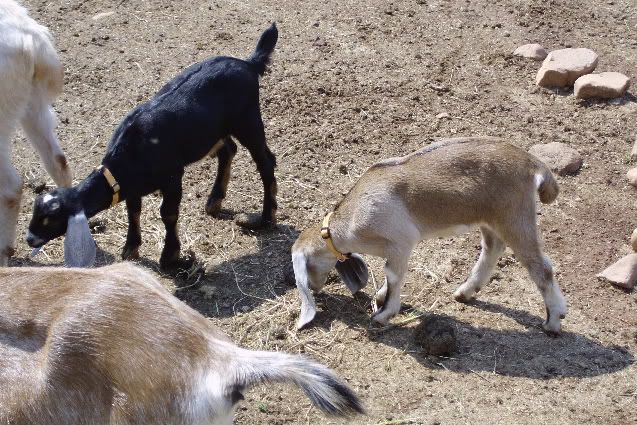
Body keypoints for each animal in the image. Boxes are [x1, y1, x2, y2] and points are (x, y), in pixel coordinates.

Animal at [292, 137, 568, 332]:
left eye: (308, 265)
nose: (314, 288)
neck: (350, 220)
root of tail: (533, 163)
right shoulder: (396, 250)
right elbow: (391, 274)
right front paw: (380, 296)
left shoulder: (401, 241)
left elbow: (393, 275)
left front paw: (383, 314)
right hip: (490, 219)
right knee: (493, 248)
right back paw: (465, 292)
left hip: (514, 217)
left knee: (541, 267)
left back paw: (553, 322)